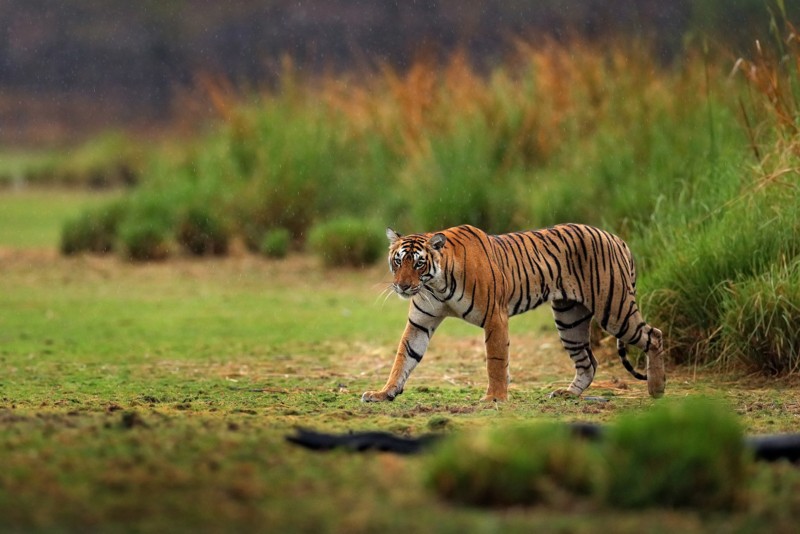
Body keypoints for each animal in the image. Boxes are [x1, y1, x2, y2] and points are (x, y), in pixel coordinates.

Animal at [360, 224, 664, 404]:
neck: (436, 285)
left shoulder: (495, 317)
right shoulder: (420, 323)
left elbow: (495, 360)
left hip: (614, 308)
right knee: (588, 362)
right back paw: (567, 394)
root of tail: (617, 238)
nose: (402, 286)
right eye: (398, 261)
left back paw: (657, 389)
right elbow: (403, 358)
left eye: (419, 264)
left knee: (654, 335)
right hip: (569, 318)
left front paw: (494, 397)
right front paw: (384, 392)